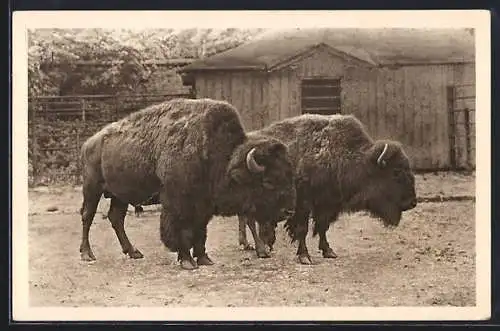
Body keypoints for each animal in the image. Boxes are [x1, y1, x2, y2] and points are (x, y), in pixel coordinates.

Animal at [78, 98, 296, 270]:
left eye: (288, 177)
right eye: (268, 182)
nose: (288, 211)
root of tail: (89, 143)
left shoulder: (203, 206)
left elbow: (200, 232)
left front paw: (204, 259)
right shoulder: (177, 203)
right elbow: (180, 230)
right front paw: (186, 261)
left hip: (120, 195)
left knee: (116, 218)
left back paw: (133, 252)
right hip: (92, 188)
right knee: (87, 216)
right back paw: (87, 254)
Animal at [236, 114, 416, 264]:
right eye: (396, 172)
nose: (412, 202)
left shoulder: (328, 204)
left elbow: (323, 227)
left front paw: (329, 251)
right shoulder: (304, 205)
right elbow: (302, 229)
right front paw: (305, 257)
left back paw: (259, 244)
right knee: (249, 219)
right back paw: (258, 248)